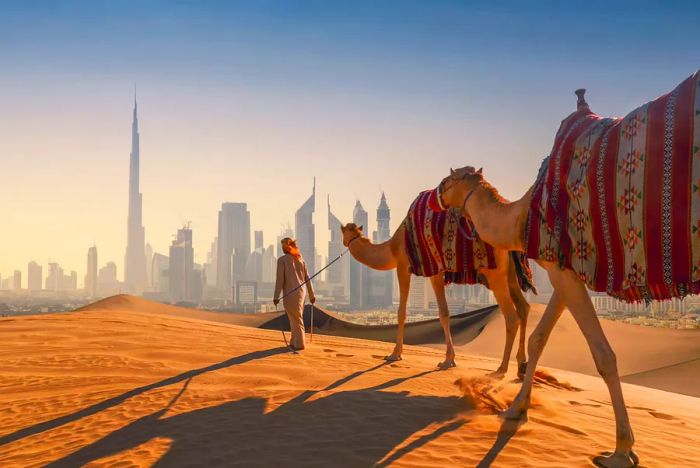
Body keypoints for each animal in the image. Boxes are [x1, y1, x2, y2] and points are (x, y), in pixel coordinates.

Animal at [340, 216, 532, 372]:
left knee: (511, 316)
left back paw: (502, 368)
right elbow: (444, 313)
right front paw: (449, 359)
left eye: (344, 230)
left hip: (495, 274)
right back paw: (521, 363)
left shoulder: (404, 266)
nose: (343, 242)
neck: (391, 248)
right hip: (510, 274)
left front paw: (395, 354)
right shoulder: (433, 271)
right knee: (524, 307)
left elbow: (405, 313)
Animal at [434, 70, 700, 468]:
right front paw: (516, 408)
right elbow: (539, 337)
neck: (523, 213)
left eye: (450, 179)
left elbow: (603, 354)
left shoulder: (560, 265)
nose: (435, 193)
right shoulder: (563, 267)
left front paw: (622, 449)